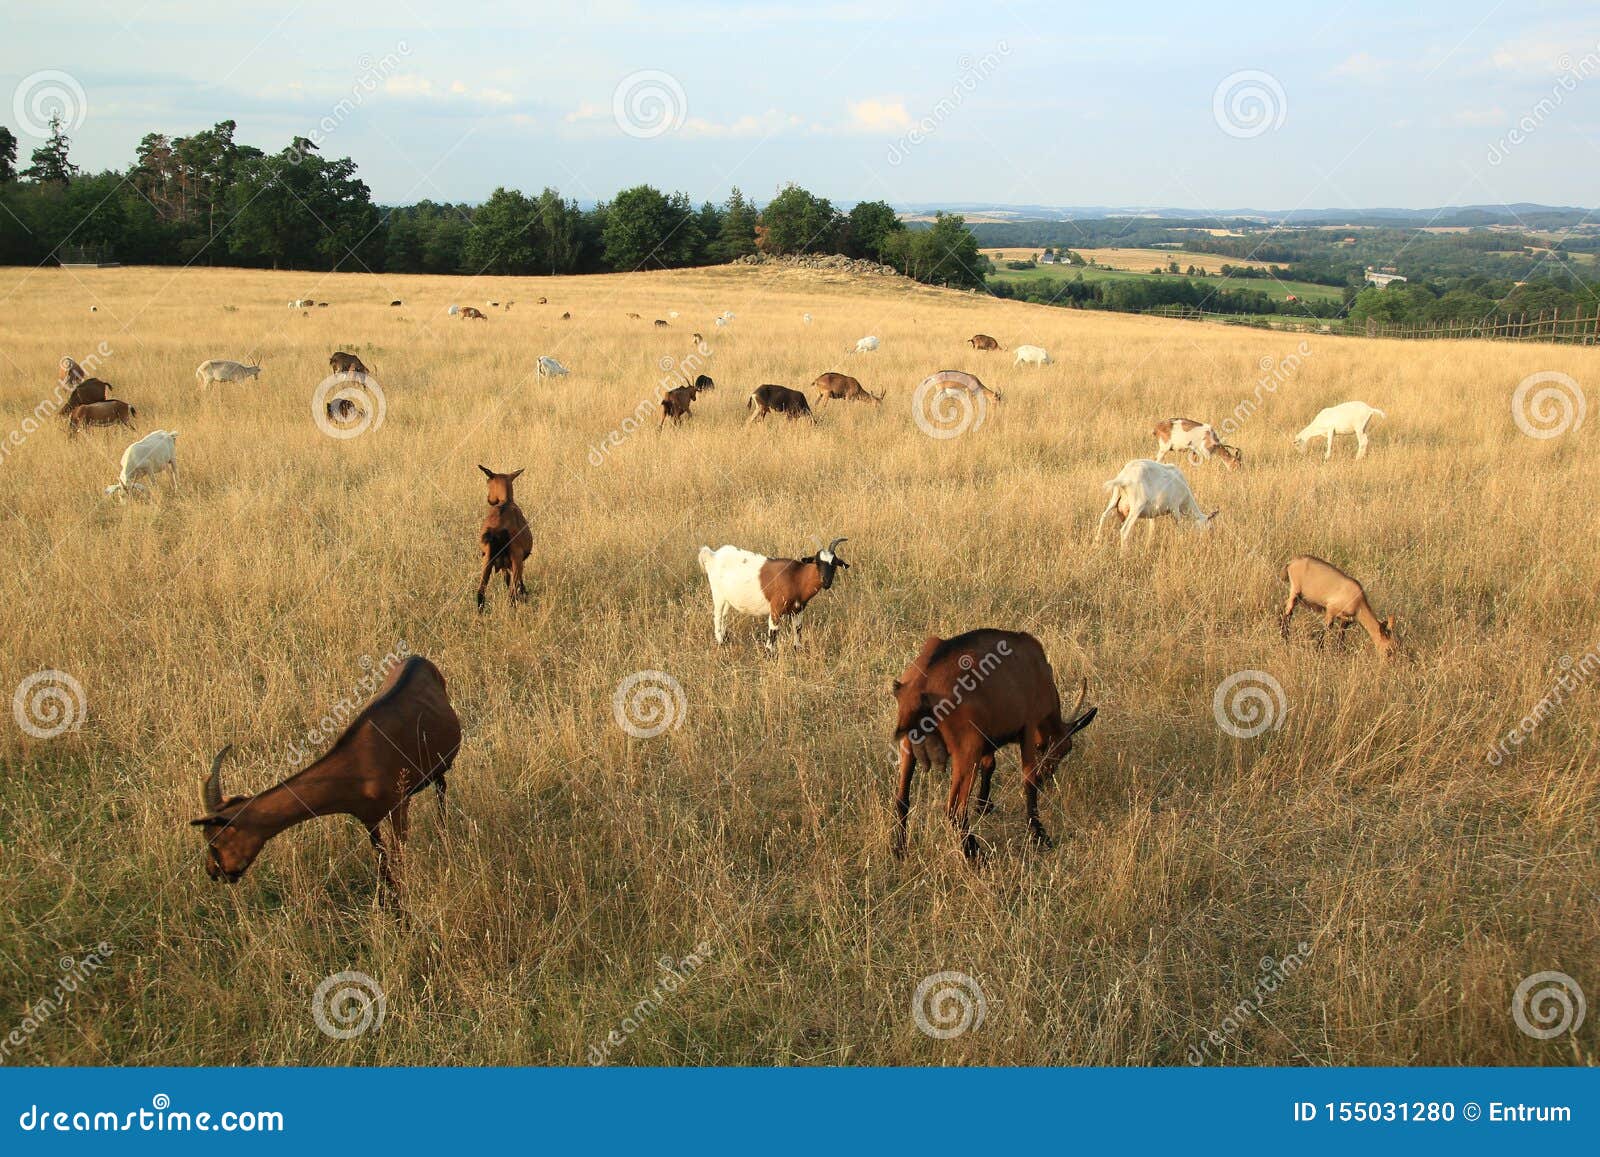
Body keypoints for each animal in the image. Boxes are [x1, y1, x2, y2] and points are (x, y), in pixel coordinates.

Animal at [189, 655, 461, 904]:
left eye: (214, 840)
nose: (212, 872)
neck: (357, 765)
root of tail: (417, 658)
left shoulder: (399, 806)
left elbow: (397, 858)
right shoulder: (369, 819)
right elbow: (383, 866)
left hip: (439, 767)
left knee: (442, 789)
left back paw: (443, 837)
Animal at [476, 465, 531, 611]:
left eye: (487, 481)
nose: (489, 499)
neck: (505, 502)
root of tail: (497, 529)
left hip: (487, 560)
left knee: (480, 592)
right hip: (516, 560)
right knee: (512, 594)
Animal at [698, 539, 851, 649]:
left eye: (834, 563)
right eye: (817, 562)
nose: (826, 582)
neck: (796, 577)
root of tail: (713, 555)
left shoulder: (798, 610)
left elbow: (798, 629)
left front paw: (798, 650)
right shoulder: (776, 608)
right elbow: (773, 633)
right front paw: (769, 654)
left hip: (728, 598)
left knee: (724, 616)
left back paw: (725, 638)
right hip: (718, 594)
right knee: (717, 616)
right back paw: (720, 641)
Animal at [892, 629, 1096, 859]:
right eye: (1064, 749)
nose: (1047, 777)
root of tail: (921, 686)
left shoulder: (987, 736)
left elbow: (989, 765)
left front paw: (983, 806)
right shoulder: (1028, 727)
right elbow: (1028, 779)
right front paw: (1039, 835)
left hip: (907, 748)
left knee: (902, 799)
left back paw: (900, 850)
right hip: (966, 751)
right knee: (955, 808)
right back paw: (976, 855)